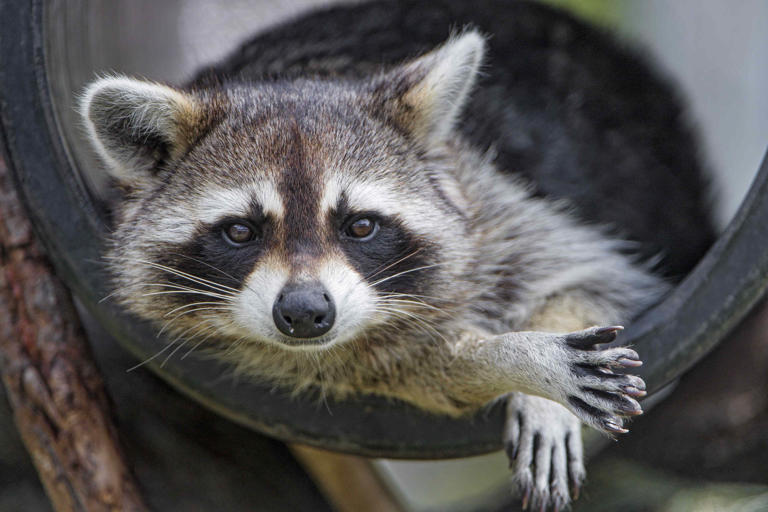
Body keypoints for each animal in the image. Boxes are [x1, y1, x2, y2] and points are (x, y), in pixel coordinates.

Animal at [79, 1, 714, 510]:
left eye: (360, 225)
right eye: (241, 232)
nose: (305, 314)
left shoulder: (491, 209)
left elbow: (591, 275)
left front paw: (539, 355)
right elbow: (414, 369)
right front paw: (515, 357)